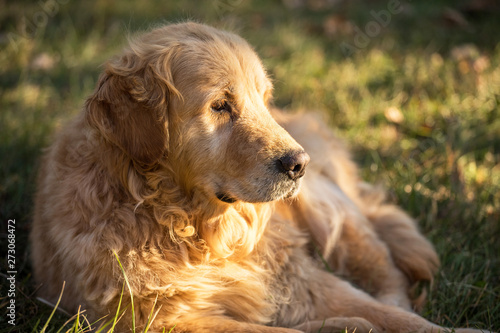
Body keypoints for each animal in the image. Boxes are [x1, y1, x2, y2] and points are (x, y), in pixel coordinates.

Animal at [30, 22, 484, 330]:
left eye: (263, 99)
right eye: (219, 106)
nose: (299, 163)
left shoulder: (298, 279)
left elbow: (401, 319)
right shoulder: (163, 320)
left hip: (328, 209)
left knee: (386, 274)